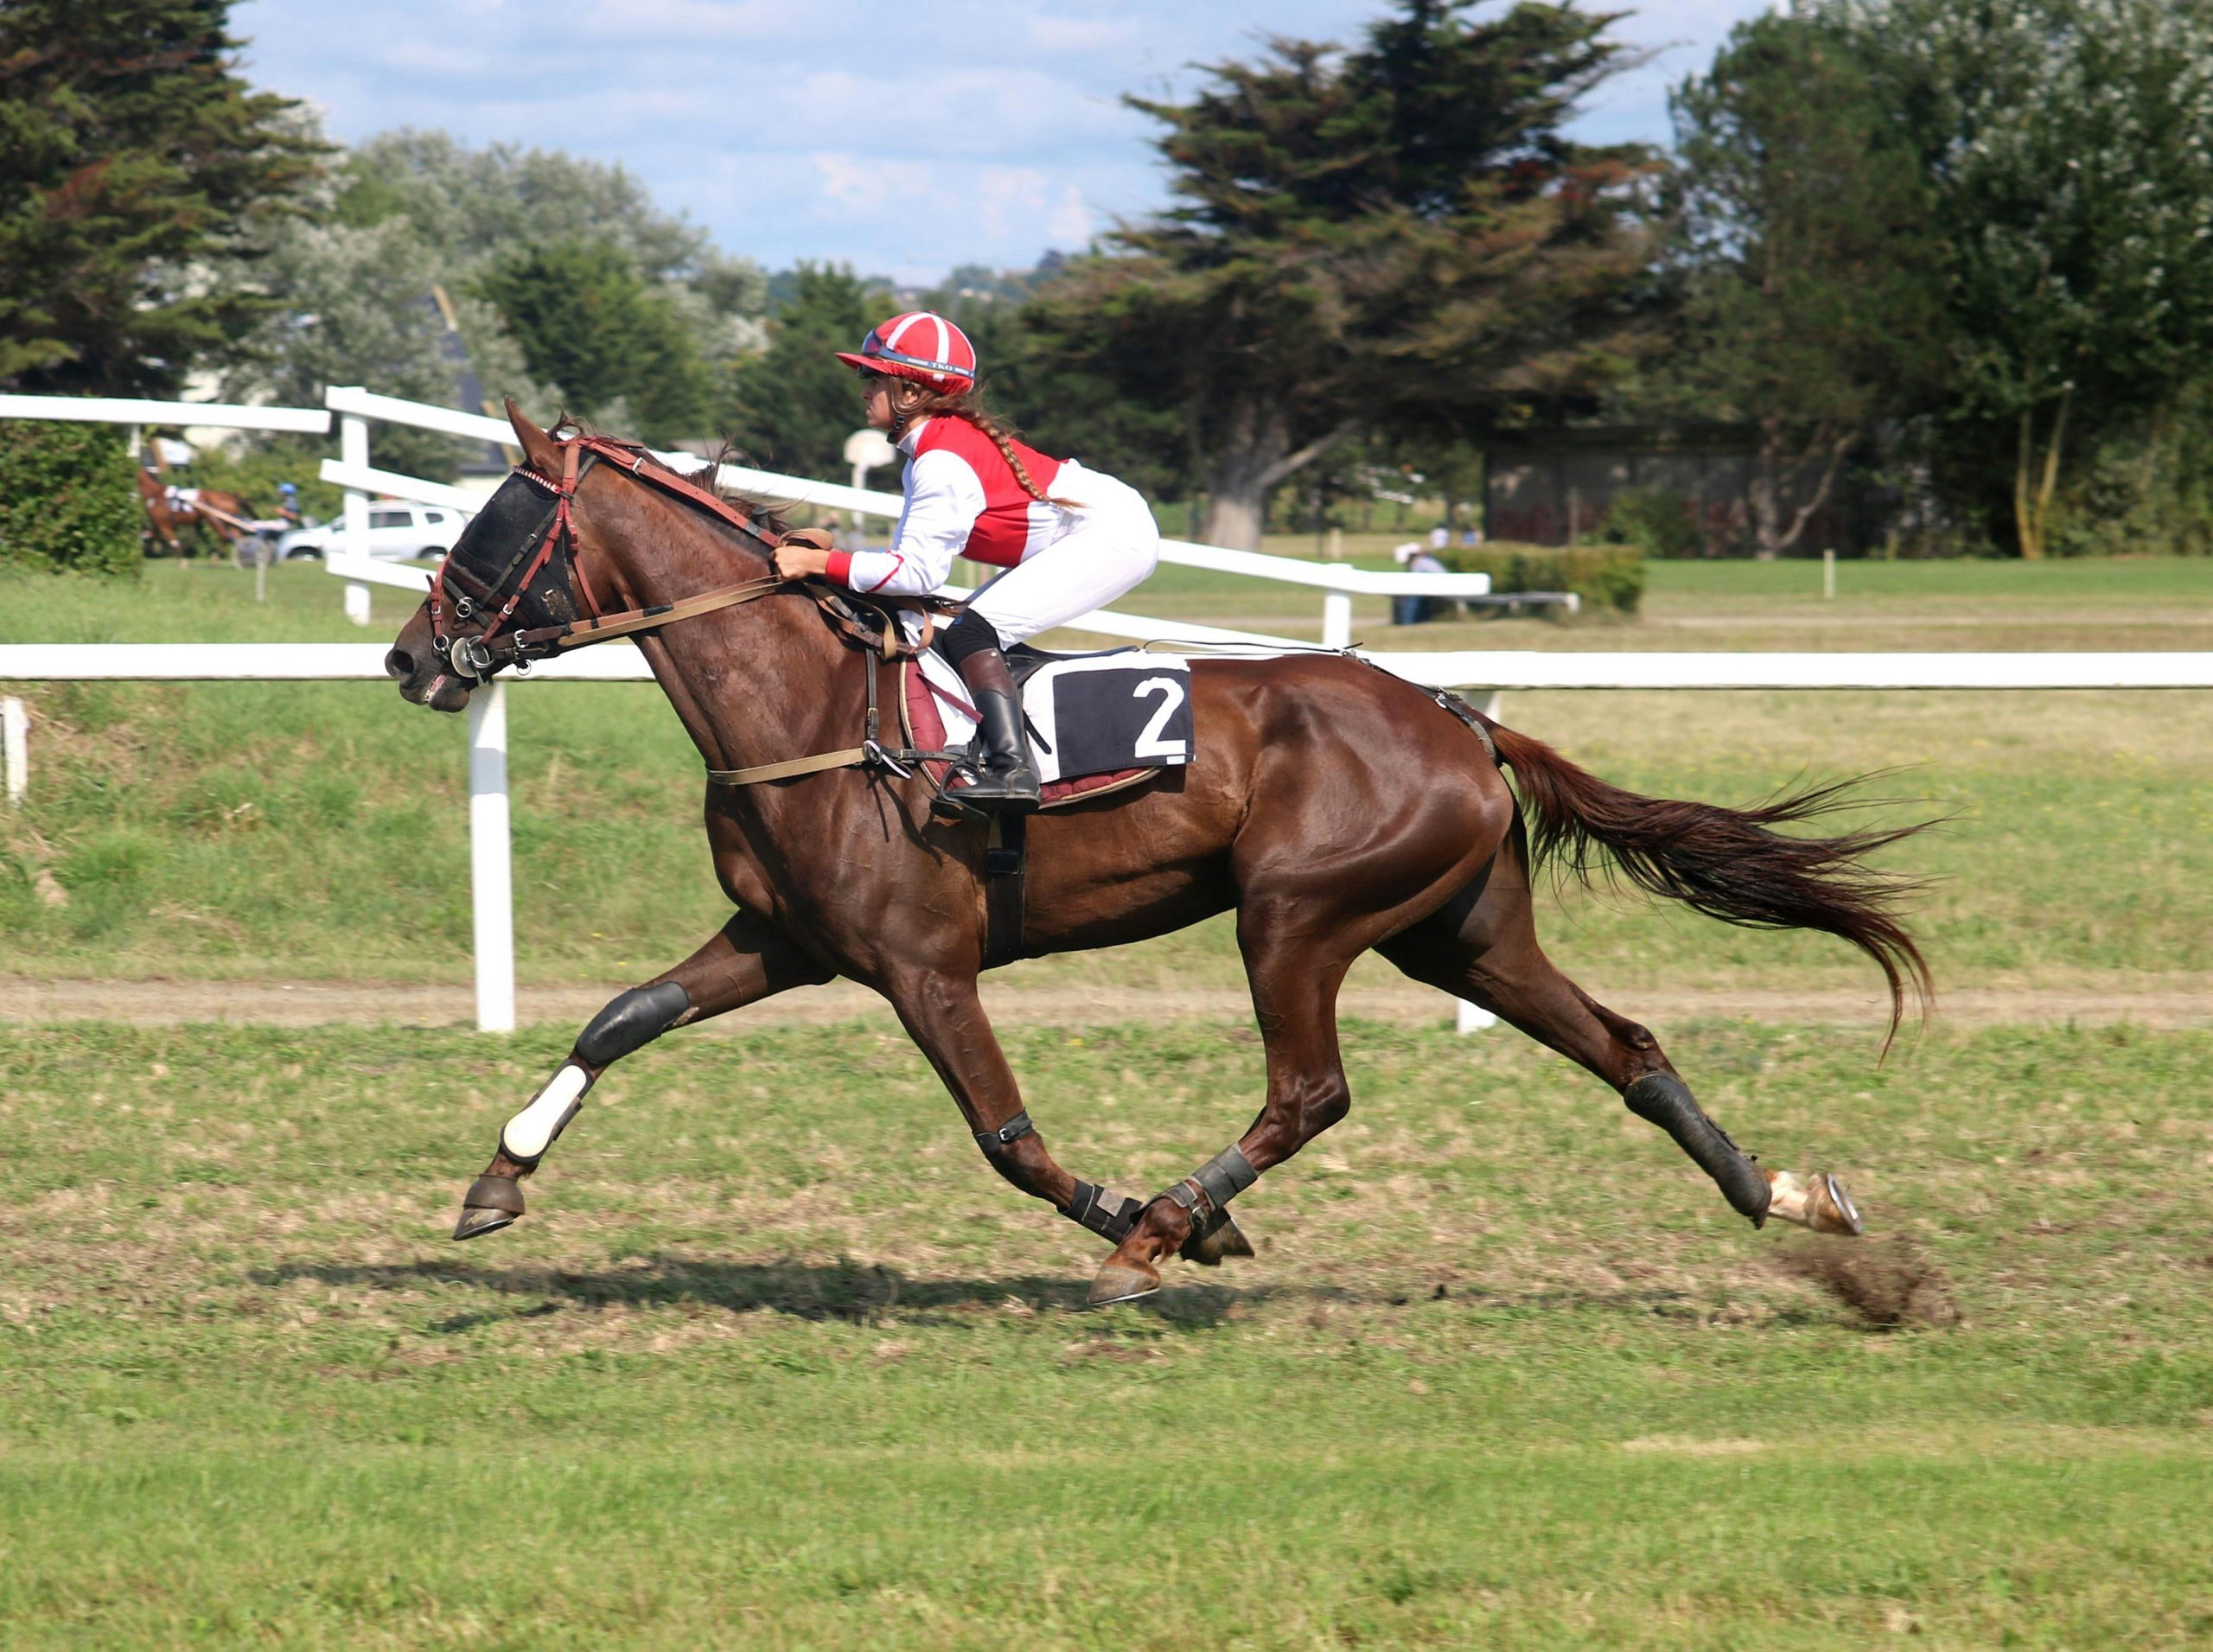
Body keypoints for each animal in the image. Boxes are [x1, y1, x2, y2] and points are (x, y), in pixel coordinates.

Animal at [384, 404, 1930, 1307]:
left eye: (491, 528)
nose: (408, 659)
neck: (811, 707)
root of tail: (1455, 713)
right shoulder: (788, 940)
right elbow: (620, 1015)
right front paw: (497, 1179)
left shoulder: (924, 965)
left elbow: (1006, 1138)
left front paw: (1133, 1216)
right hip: (1461, 930)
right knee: (1624, 1043)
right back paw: (1783, 1192)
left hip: (1297, 915)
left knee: (1309, 1089)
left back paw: (1169, 1226)